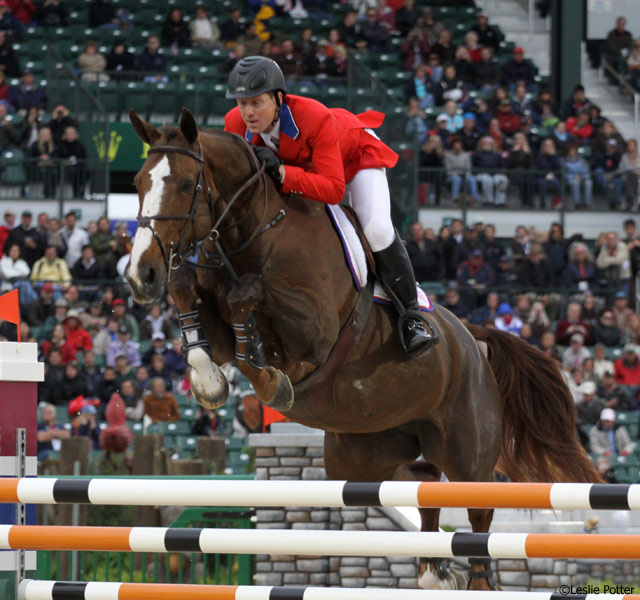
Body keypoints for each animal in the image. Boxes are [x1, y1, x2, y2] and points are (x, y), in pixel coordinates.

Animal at [125, 109, 600, 592]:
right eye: (139, 181)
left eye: (186, 183)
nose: (141, 275)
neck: (257, 229)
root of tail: (471, 336)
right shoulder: (220, 322)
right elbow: (190, 296)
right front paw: (208, 383)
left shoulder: (313, 333)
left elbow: (249, 304)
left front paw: (270, 383)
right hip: (363, 455)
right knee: (423, 480)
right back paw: (433, 570)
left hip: (467, 452)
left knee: (478, 514)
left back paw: (471, 581)